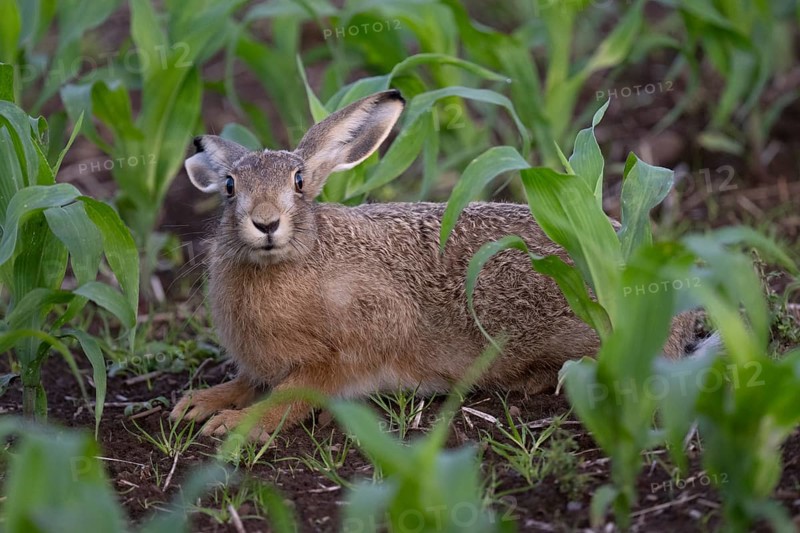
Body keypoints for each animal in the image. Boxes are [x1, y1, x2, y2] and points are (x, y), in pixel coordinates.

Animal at [170, 89, 709, 440]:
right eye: (229, 187)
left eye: (299, 182)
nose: (265, 222)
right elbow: (250, 381)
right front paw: (200, 403)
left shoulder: (357, 343)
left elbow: (294, 393)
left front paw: (233, 425)